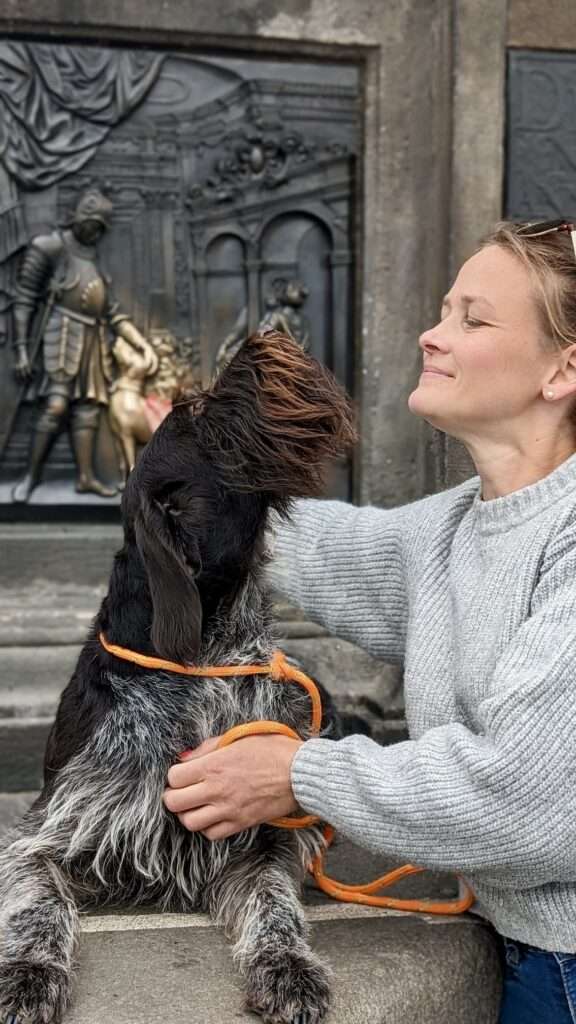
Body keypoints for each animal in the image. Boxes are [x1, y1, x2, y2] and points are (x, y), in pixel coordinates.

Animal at [0, 331, 356, 1019]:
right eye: (199, 416)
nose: (262, 337)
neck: (205, 662)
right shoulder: (48, 832)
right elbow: (38, 900)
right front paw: (28, 971)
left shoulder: (260, 837)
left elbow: (275, 902)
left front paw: (287, 965)